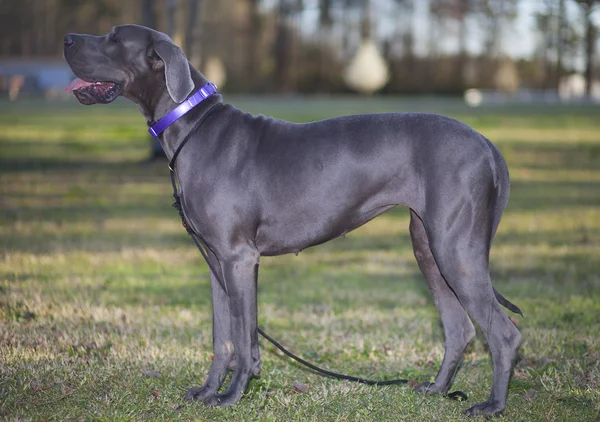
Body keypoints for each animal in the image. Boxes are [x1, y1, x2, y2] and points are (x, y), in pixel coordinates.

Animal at [62, 24, 520, 418]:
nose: (66, 39)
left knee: (504, 333)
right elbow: (222, 337)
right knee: (460, 328)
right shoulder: (216, 264)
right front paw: (209, 392)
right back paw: (437, 389)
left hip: (454, 248)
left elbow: (244, 337)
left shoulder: (239, 259)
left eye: (114, 39)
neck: (191, 124)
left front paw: (232, 396)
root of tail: (487, 144)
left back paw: (492, 406)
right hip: (428, 246)